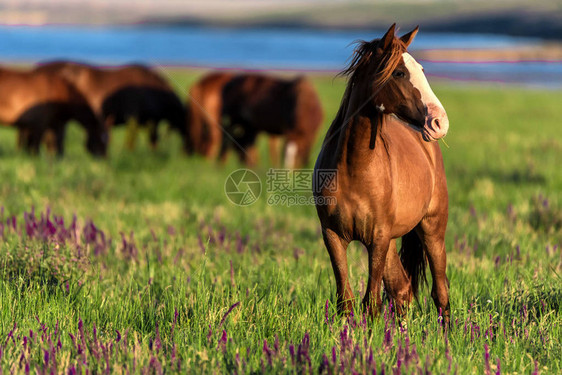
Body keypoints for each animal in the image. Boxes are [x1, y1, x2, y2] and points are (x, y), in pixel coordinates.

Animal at [312, 23, 448, 324]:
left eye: (422, 69)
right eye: (398, 72)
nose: (439, 122)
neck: (354, 168)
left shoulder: (378, 237)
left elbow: (371, 303)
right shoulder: (333, 236)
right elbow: (346, 300)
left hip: (432, 230)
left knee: (440, 293)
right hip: (393, 243)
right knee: (402, 290)